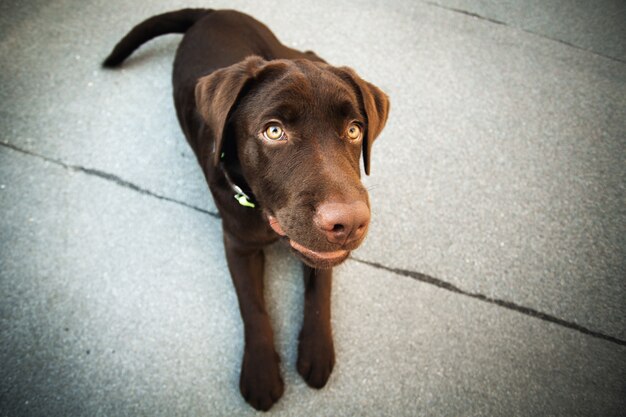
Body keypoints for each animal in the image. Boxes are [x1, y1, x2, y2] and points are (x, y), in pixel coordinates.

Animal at [104, 8, 388, 410]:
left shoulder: (319, 255)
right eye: (274, 131)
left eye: (353, 130)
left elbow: (320, 289)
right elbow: (252, 304)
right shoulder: (237, 243)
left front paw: (317, 352)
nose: (349, 224)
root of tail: (211, 12)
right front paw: (260, 372)